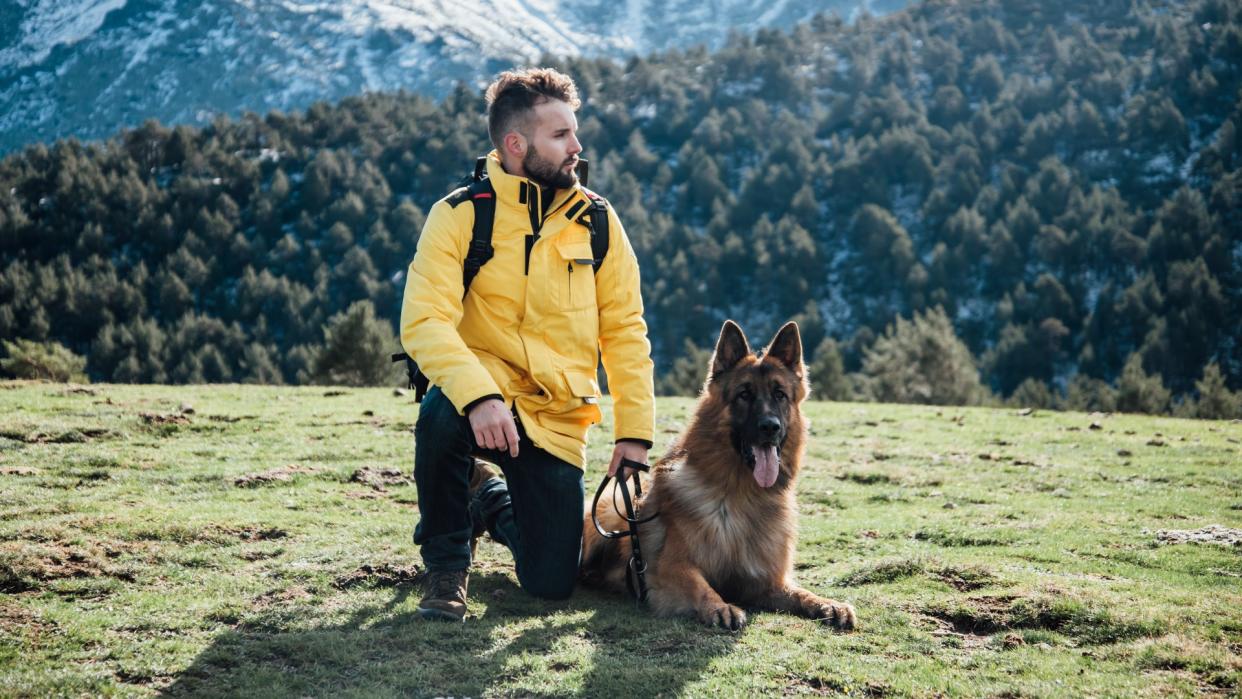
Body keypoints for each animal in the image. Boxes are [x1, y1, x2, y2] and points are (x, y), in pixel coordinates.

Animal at [578, 322, 854, 635]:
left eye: (780, 395)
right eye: (744, 394)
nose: (770, 427)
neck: (742, 497)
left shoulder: (767, 583)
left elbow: (800, 593)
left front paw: (827, 604)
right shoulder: (669, 568)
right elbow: (698, 584)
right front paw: (720, 606)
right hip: (609, 513)